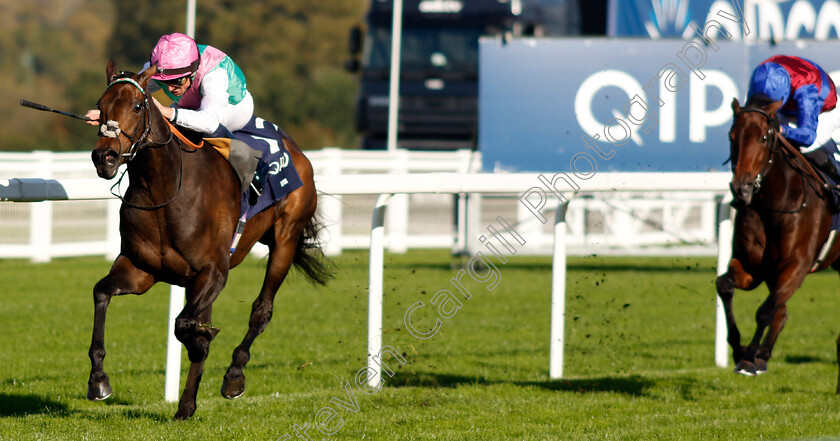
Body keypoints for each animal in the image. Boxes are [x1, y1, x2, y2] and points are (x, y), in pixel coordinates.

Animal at [87, 60, 330, 418]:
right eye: (100, 106)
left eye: (136, 106)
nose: (104, 158)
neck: (164, 190)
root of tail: (296, 149)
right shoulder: (141, 269)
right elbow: (102, 293)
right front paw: (98, 381)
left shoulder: (215, 271)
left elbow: (184, 323)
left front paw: (202, 342)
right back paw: (186, 405)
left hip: (286, 239)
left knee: (262, 310)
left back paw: (233, 376)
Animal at [716, 95, 840, 388]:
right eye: (732, 136)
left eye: (763, 137)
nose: (741, 190)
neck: (773, 203)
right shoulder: (753, 269)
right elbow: (724, 285)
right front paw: (740, 350)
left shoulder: (796, 267)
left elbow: (765, 310)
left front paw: (748, 358)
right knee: (781, 312)